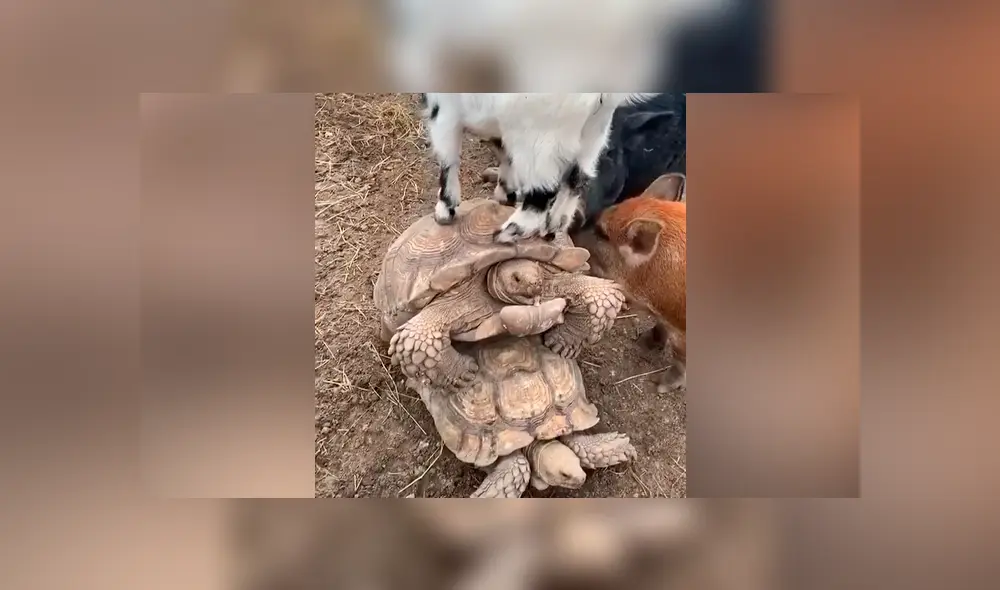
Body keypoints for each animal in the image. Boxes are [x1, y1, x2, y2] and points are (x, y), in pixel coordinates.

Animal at [421, 93, 656, 243]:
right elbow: (501, 148)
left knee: (544, 189)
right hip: (594, 132)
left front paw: (444, 211)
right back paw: (552, 228)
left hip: (539, 134)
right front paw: (506, 194)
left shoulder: (444, 107)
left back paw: (508, 232)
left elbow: (447, 156)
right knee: (578, 177)